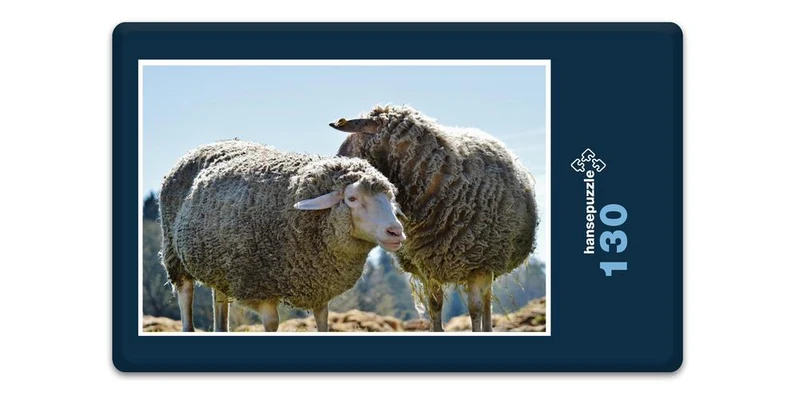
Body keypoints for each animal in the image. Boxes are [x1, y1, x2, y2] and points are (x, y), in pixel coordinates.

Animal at [158, 140, 406, 332]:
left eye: (390, 198)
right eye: (352, 199)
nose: (396, 231)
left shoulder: (319, 286)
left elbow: (323, 321)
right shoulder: (259, 287)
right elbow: (272, 323)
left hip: (218, 265)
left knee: (220, 307)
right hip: (173, 253)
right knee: (185, 296)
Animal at [330, 105, 538, 332]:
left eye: (351, 144)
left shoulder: (478, 264)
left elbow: (474, 309)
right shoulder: (428, 267)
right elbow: (434, 305)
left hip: (490, 261)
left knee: (485, 301)